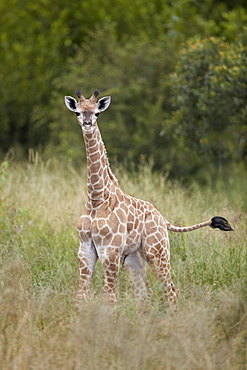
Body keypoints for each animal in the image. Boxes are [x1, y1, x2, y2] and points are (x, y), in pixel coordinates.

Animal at [64, 89, 233, 306]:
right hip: (134, 257)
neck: (96, 198)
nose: (87, 123)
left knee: (170, 292)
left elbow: (109, 298)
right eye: (78, 112)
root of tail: (164, 219)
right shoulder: (85, 250)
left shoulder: (110, 250)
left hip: (157, 251)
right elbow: (81, 298)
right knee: (144, 295)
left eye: (97, 113)